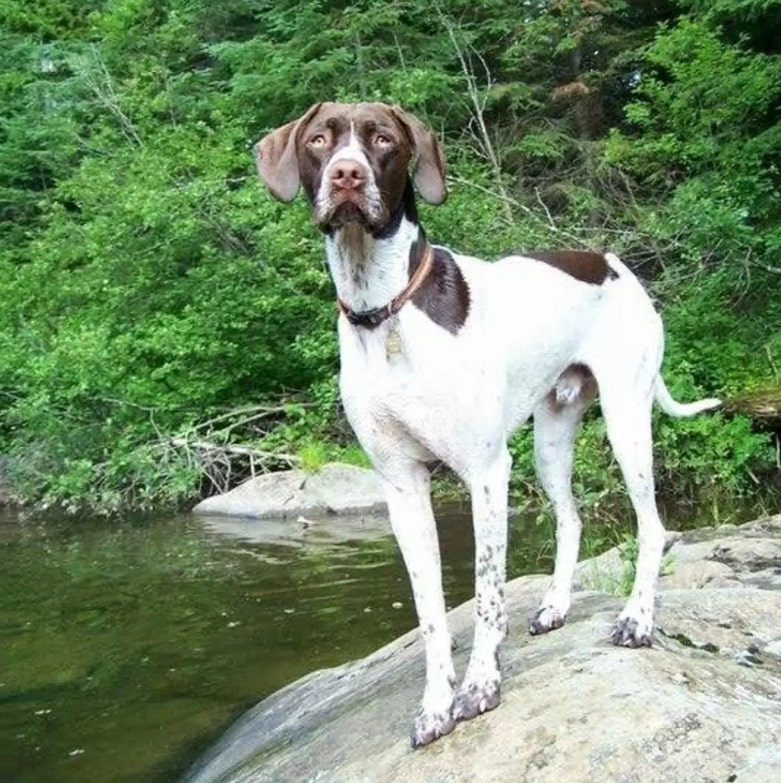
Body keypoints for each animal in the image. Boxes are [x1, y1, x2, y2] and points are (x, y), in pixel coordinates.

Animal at [254, 104, 720, 748]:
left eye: (383, 139)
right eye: (320, 140)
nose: (347, 176)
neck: (386, 309)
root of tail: (611, 262)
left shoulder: (485, 472)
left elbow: (486, 592)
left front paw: (480, 685)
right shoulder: (401, 488)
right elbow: (429, 611)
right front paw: (434, 704)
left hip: (627, 422)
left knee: (652, 528)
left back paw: (637, 619)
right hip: (552, 440)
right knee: (571, 519)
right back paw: (555, 605)